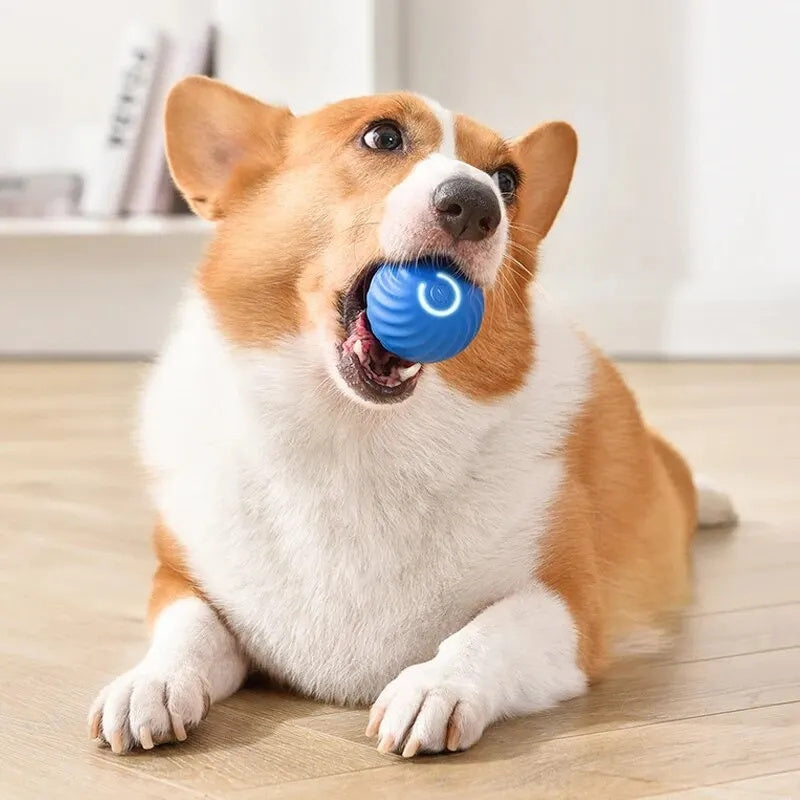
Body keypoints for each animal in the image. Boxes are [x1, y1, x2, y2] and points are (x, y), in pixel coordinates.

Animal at [89, 76, 736, 756]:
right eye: (382, 136)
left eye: (507, 179)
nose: (475, 205)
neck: (352, 437)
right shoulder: (178, 577)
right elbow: (186, 629)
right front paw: (149, 683)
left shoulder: (569, 606)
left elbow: (488, 631)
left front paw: (434, 688)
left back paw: (716, 502)